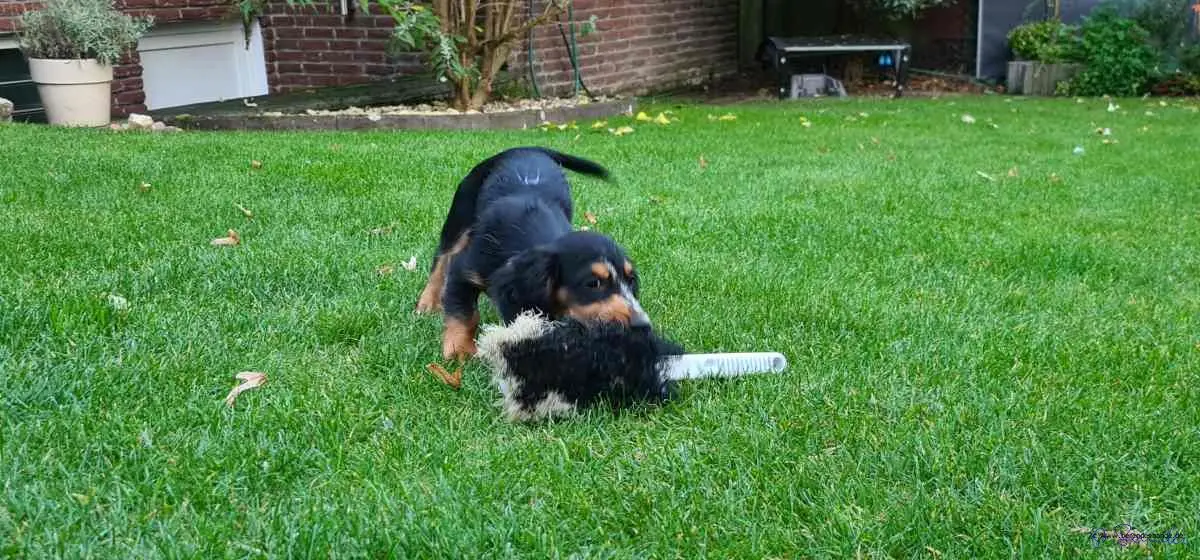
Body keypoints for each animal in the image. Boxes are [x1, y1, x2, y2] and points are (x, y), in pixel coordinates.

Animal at [416, 146, 651, 361]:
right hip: (459, 216)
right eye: (593, 283)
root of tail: (526, 148)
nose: (643, 326)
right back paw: (427, 303)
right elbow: (465, 313)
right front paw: (459, 351)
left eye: (631, 280)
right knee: (440, 259)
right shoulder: (464, 269)